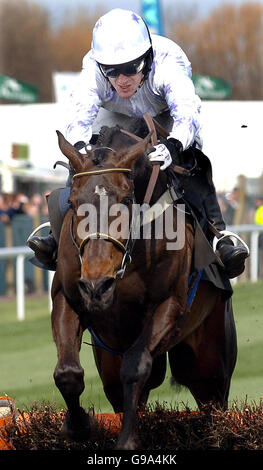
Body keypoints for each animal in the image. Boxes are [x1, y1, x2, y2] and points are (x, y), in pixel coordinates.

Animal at [51, 126, 237, 452]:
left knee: (213, 406)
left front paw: (127, 440)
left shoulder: (170, 305)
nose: (98, 286)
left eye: (126, 200)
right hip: (109, 361)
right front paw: (78, 426)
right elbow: (68, 373)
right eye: (73, 203)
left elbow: (136, 366)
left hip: (211, 365)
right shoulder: (68, 297)